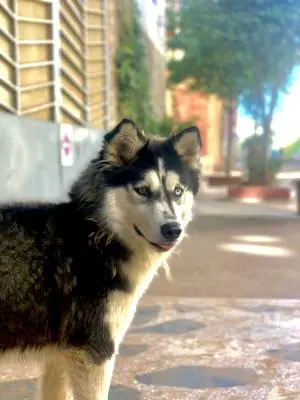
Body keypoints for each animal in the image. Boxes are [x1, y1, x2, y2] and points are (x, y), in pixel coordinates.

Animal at [0, 119, 202, 400]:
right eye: (142, 190)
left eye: (178, 191)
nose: (173, 229)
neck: (96, 237)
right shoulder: (93, 352)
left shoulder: (59, 356)